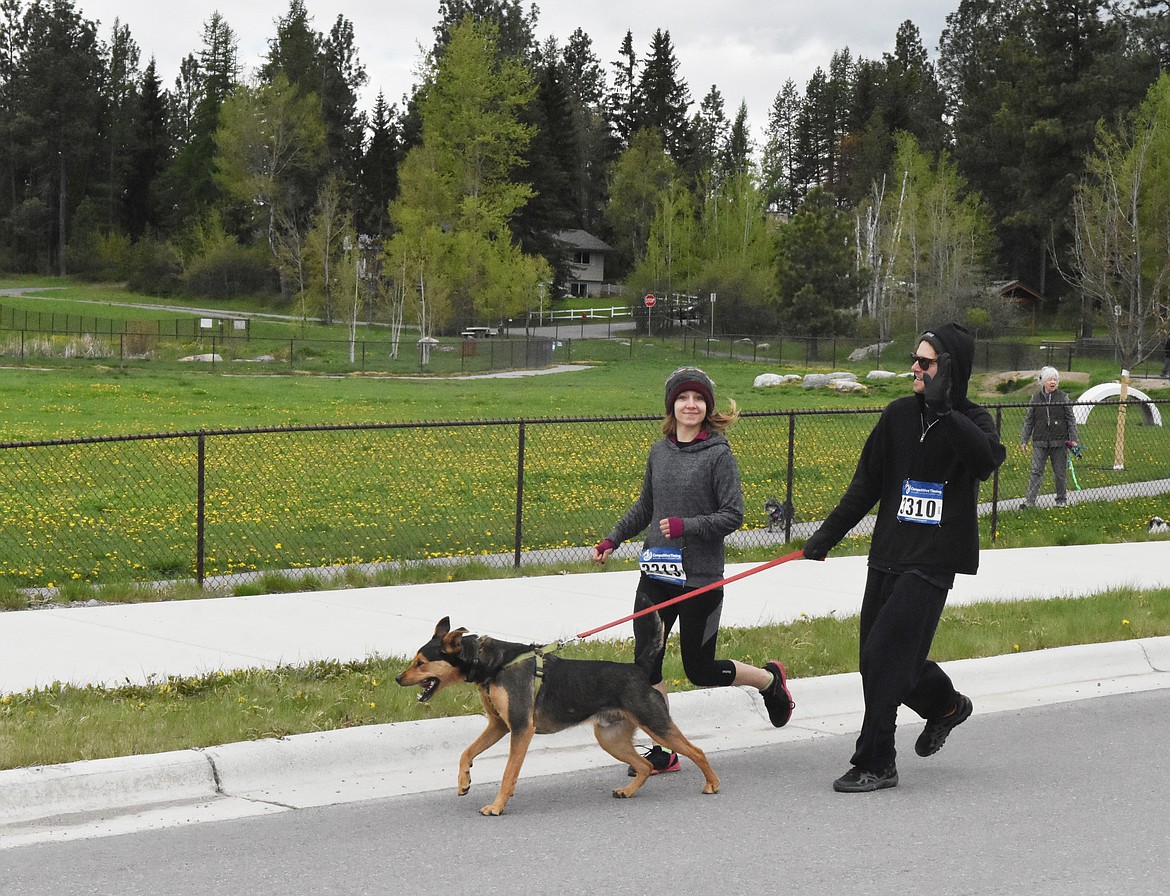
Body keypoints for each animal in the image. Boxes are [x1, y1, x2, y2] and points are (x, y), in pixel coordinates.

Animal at [397, 622, 716, 818]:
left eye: (421, 663)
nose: (398, 679)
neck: (492, 664)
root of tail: (639, 670)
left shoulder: (521, 728)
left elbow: (508, 774)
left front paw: (497, 806)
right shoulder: (499, 725)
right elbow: (466, 753)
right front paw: (464, 781)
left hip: (656, 724)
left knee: (697, 751)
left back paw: (712, 785)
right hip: (610, 737)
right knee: (646, 765)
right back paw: (627, 791)